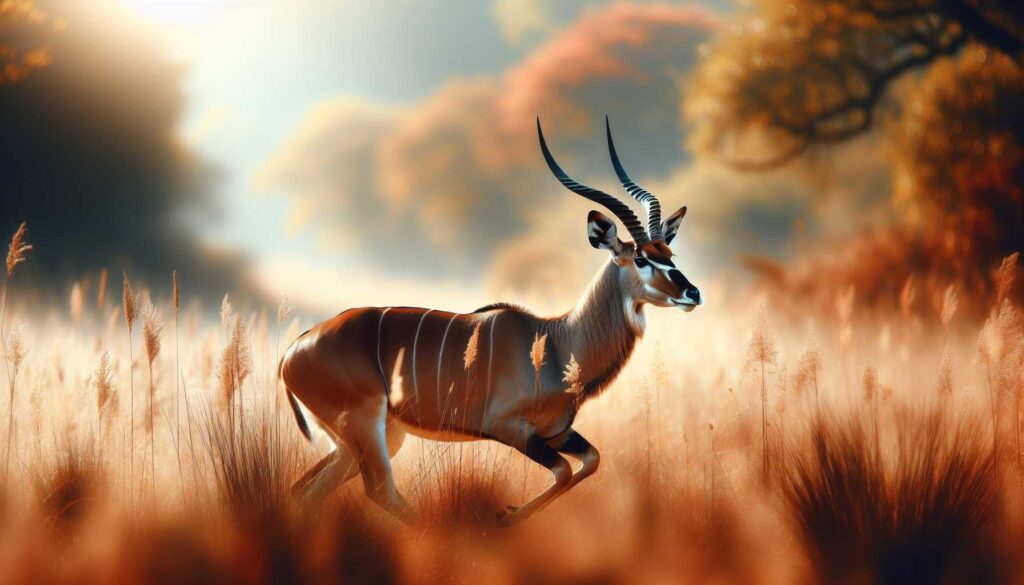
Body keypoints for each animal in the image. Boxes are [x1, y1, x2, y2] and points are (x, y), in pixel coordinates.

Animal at [281, 116, 702, 525]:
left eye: (669, 253)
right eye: (641, 258)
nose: (692, 293)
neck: (556, 340)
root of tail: (294, 350)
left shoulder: (556, 433)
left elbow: (590, 461)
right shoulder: (509, 428)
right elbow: (563, 471)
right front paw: (503, 516)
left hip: (370, 439)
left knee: (305, 490)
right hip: (367, 431)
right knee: (377, 490)